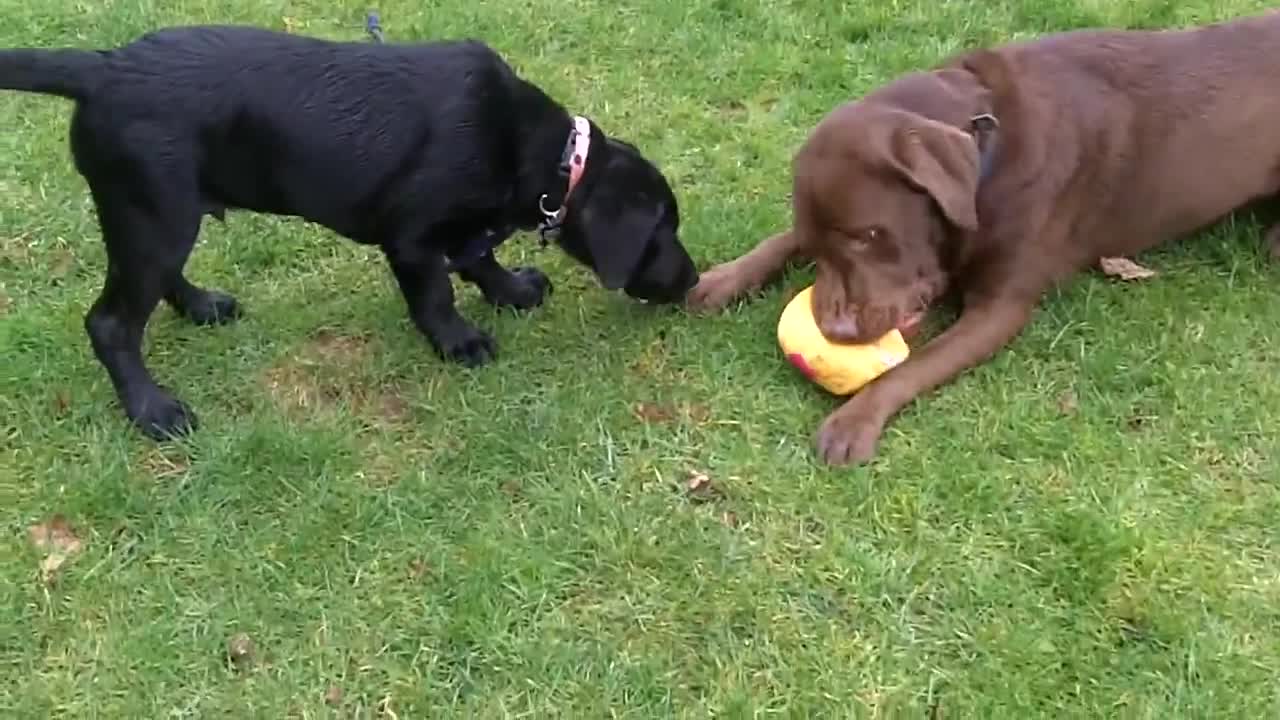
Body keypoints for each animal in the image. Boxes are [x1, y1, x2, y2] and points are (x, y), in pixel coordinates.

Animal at [0, 25, 701, 438]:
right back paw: (153, 410)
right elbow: (437, 292)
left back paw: (202, 307)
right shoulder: (411, 235)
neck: (545, 154)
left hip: (165, 213)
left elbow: (478, 253)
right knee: (112, 323)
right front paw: (461, 342)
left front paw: (513, 291)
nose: (693, 279)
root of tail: (102, 69)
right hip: (155, 213)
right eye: (661, 231)